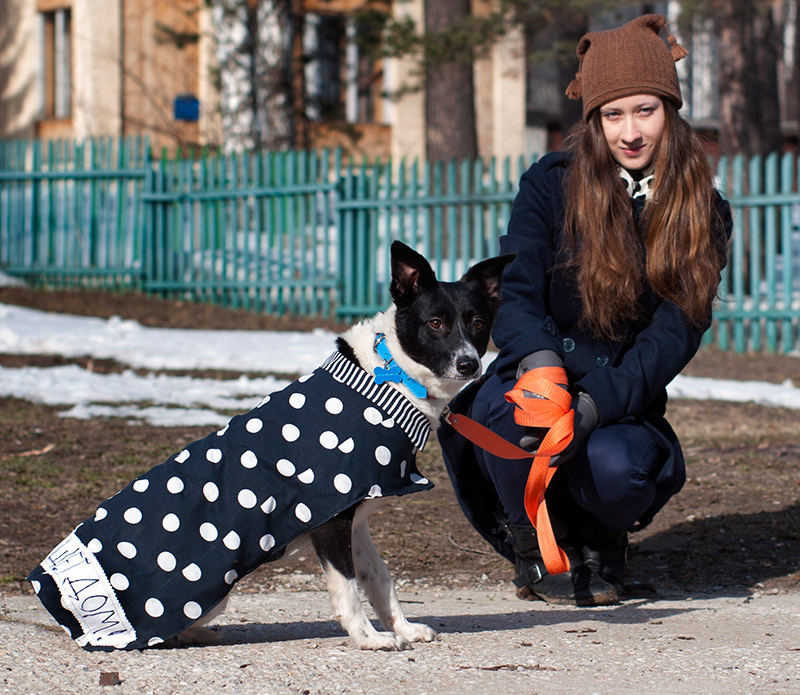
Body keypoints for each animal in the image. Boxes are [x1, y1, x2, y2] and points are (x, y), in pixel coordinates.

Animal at [28, 241, 514, 652]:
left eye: (478, 323)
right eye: (435, 323)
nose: (469, 364)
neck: (389, 378)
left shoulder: (355, 521)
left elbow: (379, 579)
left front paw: (404, 628)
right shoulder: (330, 521)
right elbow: (348, 589)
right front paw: (369, 639)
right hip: (210, 594)